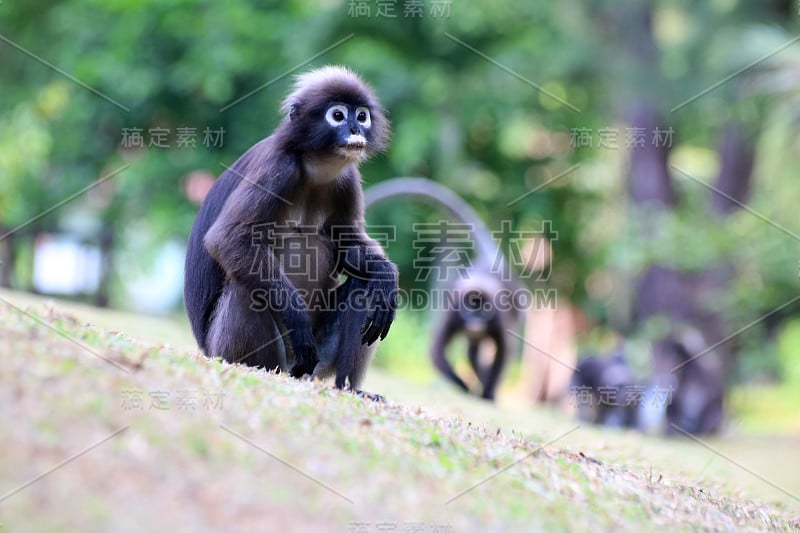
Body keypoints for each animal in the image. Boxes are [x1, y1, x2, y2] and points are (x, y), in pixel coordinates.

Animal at [187, 65, 400, 394]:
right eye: (338, 115)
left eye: (361, 116)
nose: (355, 130)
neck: (314, 168)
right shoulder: (277, 167)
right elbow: (228, 238)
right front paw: (297, 318)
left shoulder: (348, 179)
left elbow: (349, 244)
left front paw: (386, 273)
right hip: (233, 350)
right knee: (247, 287)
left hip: (320, 361)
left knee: (367, 287)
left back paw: (351, 387)